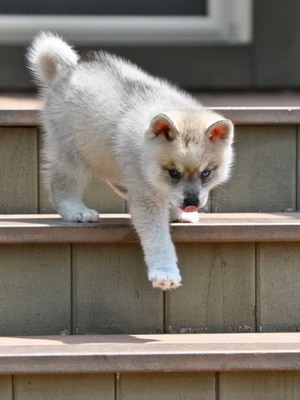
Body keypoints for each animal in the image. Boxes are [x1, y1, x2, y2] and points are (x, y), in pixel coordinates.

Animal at [27, 33, 234, 290]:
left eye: (206, 173)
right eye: (173, 173)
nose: (191, 202)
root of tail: (66, 71)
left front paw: (178, 213)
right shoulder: (146, 199)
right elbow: (157, 238)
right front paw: (165, 272)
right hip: (72, 156)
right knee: (62, 186)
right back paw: (76, 211)